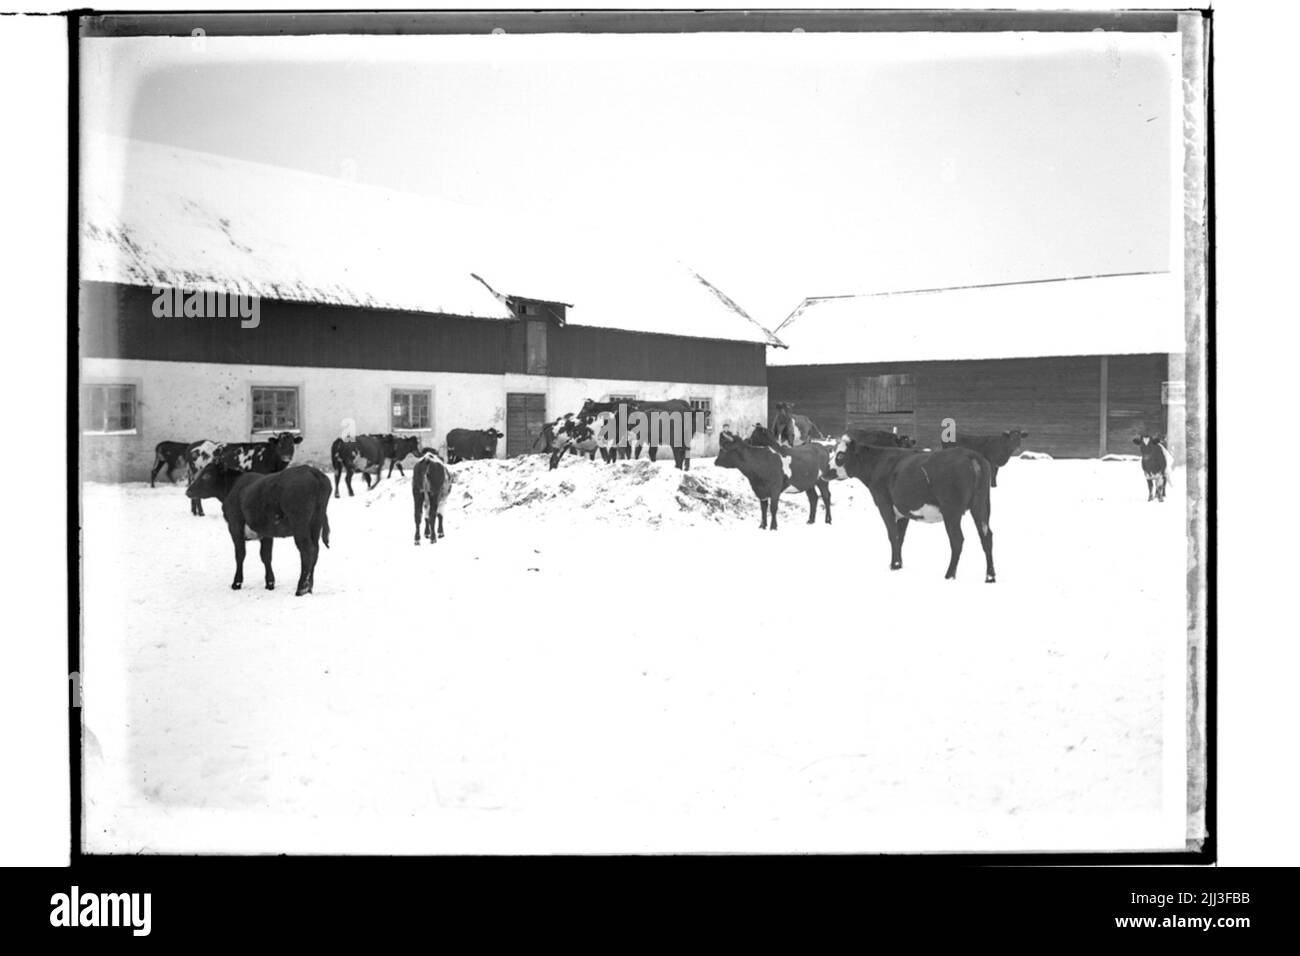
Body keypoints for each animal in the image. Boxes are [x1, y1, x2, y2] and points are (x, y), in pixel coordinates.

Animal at [832, 434, 993, 582]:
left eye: (840, 455)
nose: (827, 470)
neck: (877, 462)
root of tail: (969, 455)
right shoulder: (903, 512)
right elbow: (900, 537)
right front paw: (898, 565)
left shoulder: (884, 504)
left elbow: (893, 535)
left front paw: (894, 566)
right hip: (981, 506)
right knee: (986, 536)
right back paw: (990, 576)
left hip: (951, 511)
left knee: (957, 540)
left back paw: (949, 575)